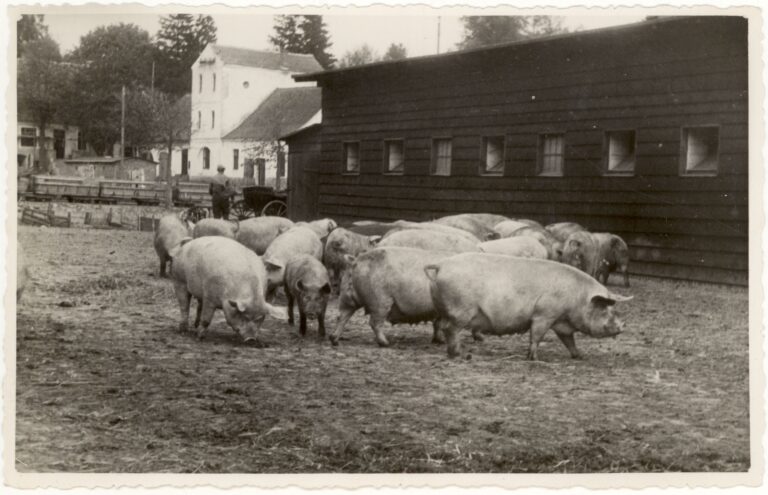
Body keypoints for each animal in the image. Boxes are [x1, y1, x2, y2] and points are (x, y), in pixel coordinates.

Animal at [426, 256, 632, 360]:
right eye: (606, 309)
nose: (623, 326)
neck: (577, 297)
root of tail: (441, 264)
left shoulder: (560, 322)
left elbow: (569, 340)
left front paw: (579, 356)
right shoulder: (544, 314)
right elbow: (537, 336)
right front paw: (533, 358)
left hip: (443, 309)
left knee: (441, 326)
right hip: (461, 310)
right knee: (450, 329)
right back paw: (458, 354)